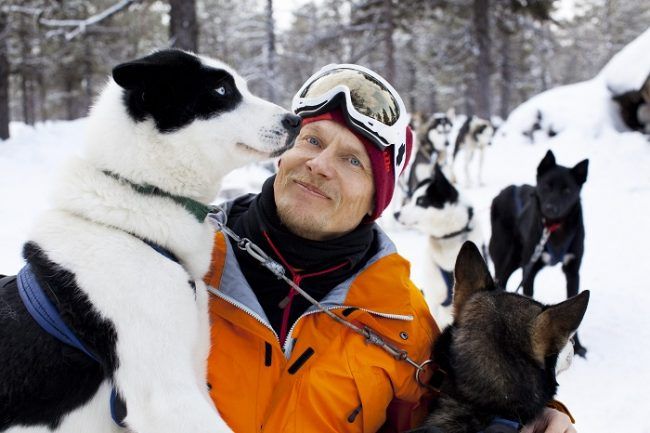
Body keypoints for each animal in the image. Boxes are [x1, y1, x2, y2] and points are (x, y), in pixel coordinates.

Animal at [486, 150, 588, 356]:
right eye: (546, 186)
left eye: (567, 191)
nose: (550, 208)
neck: (554, 229)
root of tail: (508, 189)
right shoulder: (530, 270)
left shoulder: (573, 271)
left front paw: (579, 347)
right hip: (507, 258)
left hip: (516, 260)